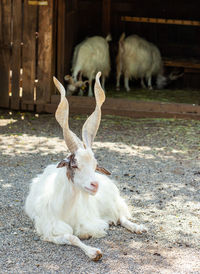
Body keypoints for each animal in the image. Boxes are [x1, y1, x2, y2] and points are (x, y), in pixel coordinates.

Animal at [24, 71, 147, 260]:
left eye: (95, 165)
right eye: (74, 165)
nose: (94, 185)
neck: (65, 209)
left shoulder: (91, 221)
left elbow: (91, 229)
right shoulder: (48, 229)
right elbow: (71, 237)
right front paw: (93, 252)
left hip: (110, 201)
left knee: (121, 216)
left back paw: (138, 227)